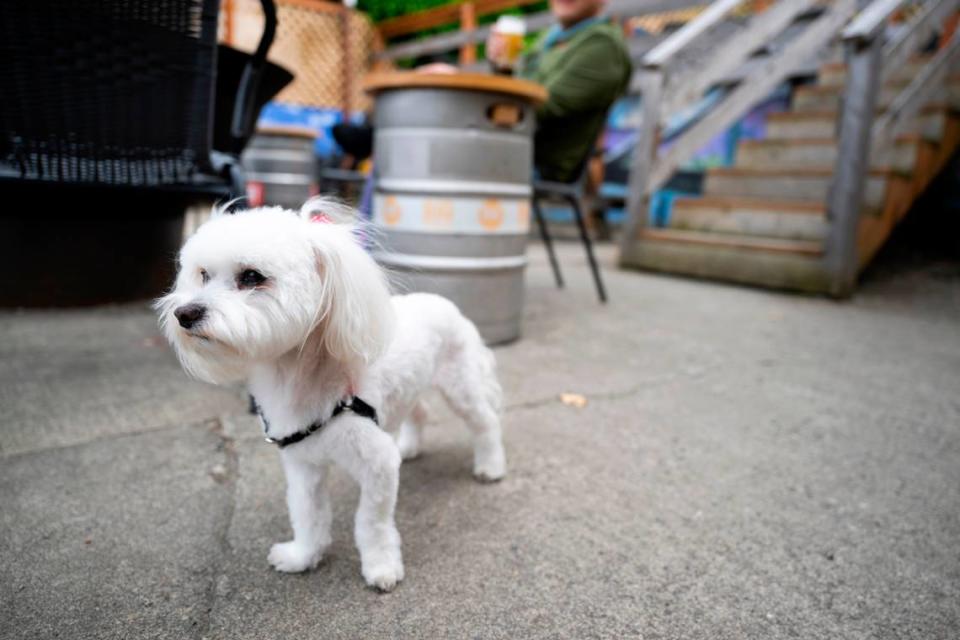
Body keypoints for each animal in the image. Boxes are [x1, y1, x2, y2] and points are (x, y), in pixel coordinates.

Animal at [154, 200, 506, 592]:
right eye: (202, 275)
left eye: (251, 276)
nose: (184, 313)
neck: (299, 380)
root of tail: (441, 300)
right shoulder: (302, 465)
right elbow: (307, 515)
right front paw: (303, 555)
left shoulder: (377, 465)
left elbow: (371, 523)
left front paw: (381, 566)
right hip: (411, 387)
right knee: (419, 412)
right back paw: (411, 446)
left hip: (461, 385)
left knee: (485, 423)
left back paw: (491, 465)